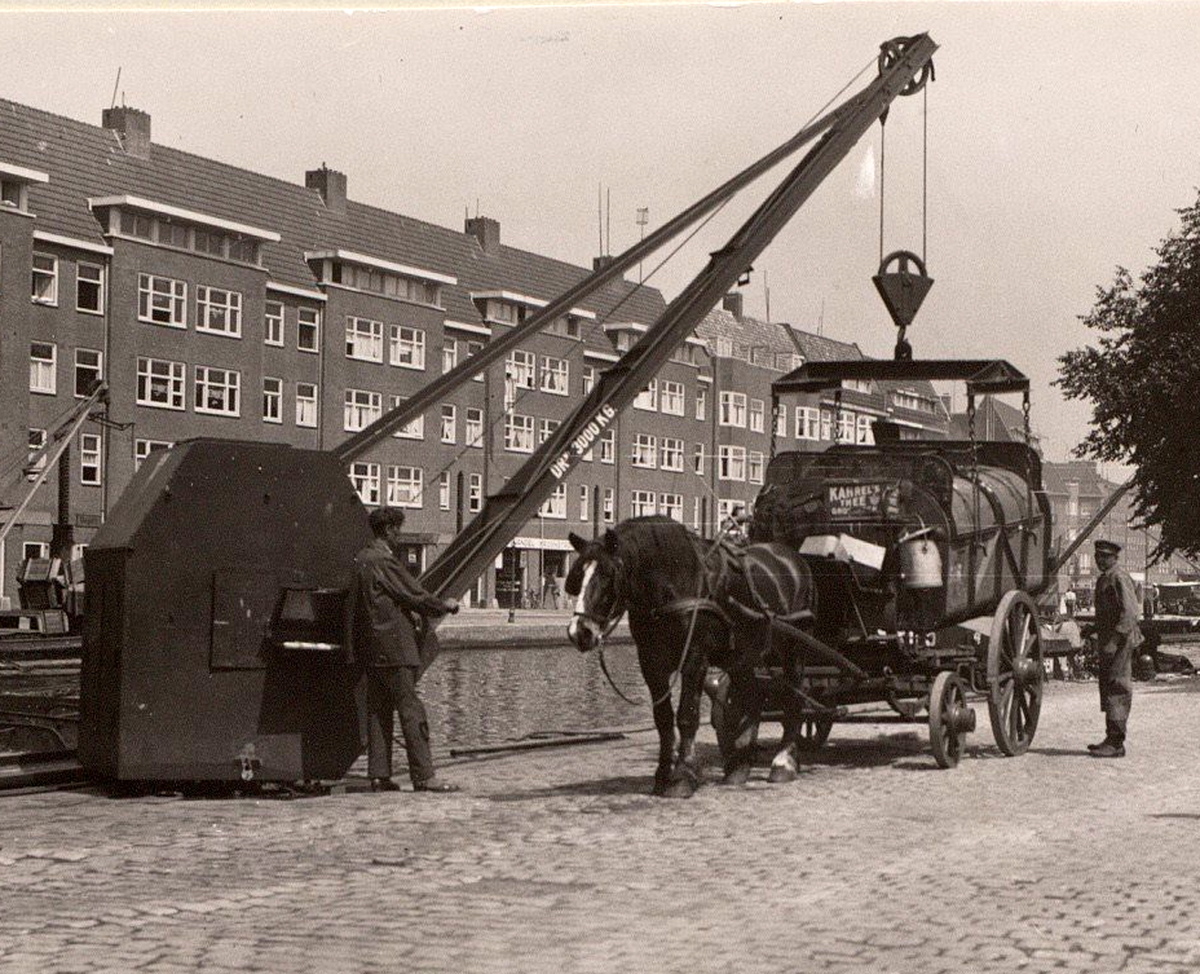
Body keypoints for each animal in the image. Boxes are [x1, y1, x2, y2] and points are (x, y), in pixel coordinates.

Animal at [565, 516, 817, 798]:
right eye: (578, 576)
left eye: (608, 575)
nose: (580, 632)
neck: (672, 582)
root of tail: (794, 558)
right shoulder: (650, 662)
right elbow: (663, 719)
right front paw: (663, 775)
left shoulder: (695, 657)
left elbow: (687, 715)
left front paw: (682, 776)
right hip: (742, 655)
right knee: (752, 696)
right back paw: (738, 767)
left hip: (794, 649)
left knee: (794, 698)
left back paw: (784, 762)